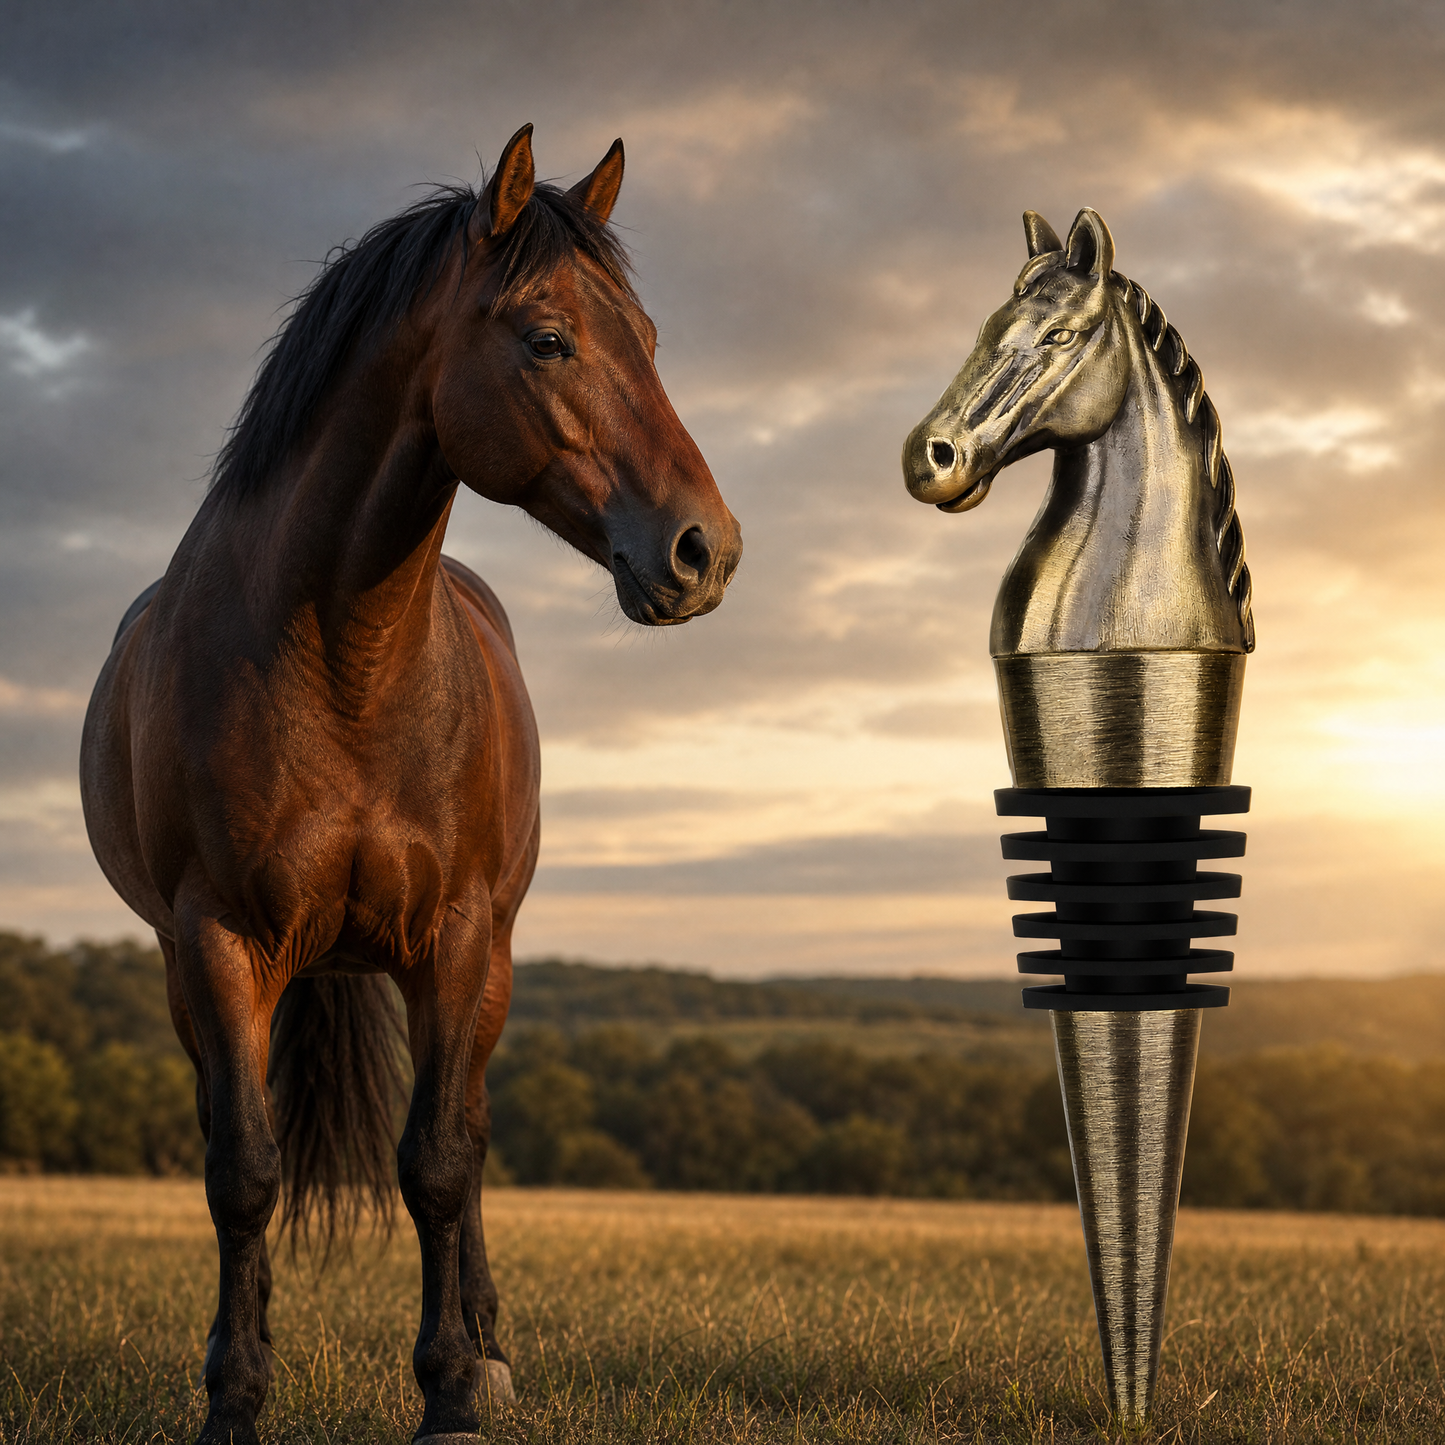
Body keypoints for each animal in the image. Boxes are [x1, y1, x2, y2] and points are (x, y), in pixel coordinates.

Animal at [79, 124, 741, 1445]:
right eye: (546, 337)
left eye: (647, 340)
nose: (706, 549)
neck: (344, 655)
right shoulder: (215, 942)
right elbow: (243, 1171)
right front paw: (235, 1396)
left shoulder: (454, 935)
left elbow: (438, 1160)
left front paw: (449, 1390)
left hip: (486, 965)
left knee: (468, 1136)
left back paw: (487, 1348)